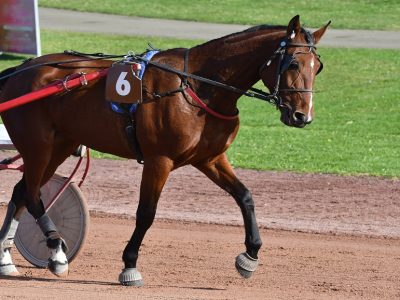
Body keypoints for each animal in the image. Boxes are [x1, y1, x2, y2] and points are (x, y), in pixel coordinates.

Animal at [0, 15, 328, 286]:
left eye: (319, 67)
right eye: (293, 63)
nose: (303, 116)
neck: (197, 85)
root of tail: (19, 70)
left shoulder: (209, 158)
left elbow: (245, 196)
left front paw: (250, 256)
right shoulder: (159, 160)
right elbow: (146, 213)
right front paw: (129, 265)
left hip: (60, 146)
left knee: (21, 193)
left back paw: (6, 259)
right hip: (39, 147)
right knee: (32, 195)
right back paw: (56, 254)